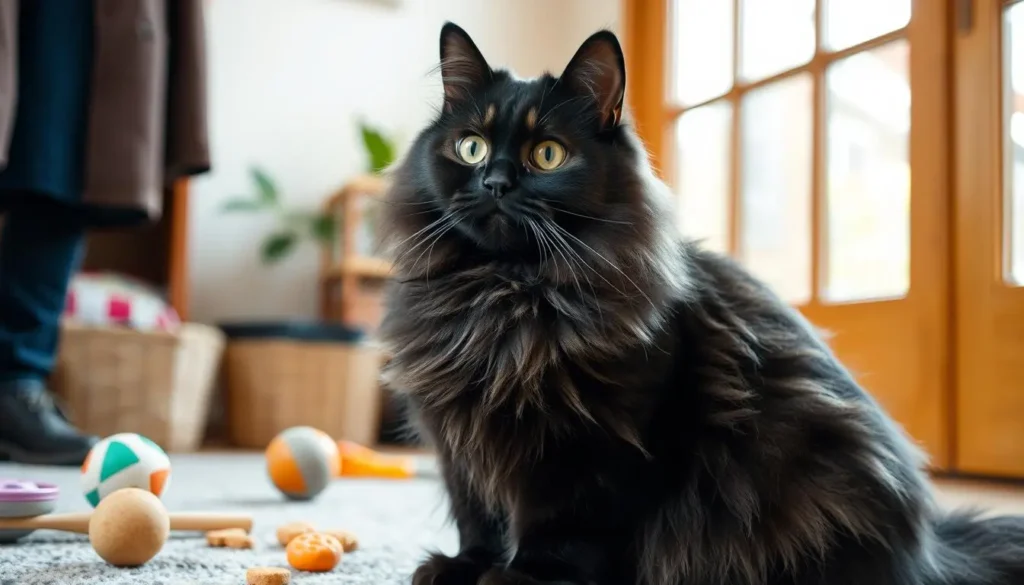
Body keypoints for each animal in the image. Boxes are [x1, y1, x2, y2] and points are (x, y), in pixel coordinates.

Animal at [380, 21, 1024, 585]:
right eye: (471, 147)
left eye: (547, 155)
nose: (494, 183)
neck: (503, 299)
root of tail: (932, 552)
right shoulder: (460, 444)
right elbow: (479, 523)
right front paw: (461, 568)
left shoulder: (598, 451)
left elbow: (565, 529)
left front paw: (523, 578)